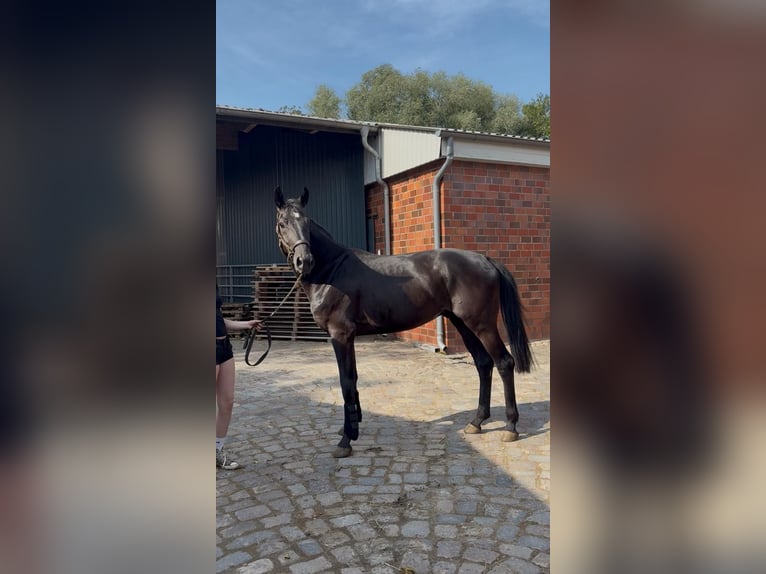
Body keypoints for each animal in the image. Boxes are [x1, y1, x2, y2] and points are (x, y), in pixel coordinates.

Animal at [274, 186, 533, 458]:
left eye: (306, 222)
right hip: (462, 324)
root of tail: (486, 259)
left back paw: (511, 426)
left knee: (504, 363)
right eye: (283, 223)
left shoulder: (340, 335)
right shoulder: (348, 337)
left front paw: (345, 440)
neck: (333, 271)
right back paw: (477, 422)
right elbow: (353, 380)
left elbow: (346, 382)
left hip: (482, 326)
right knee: (483, 364)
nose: (304, 261)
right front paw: (352, 427)